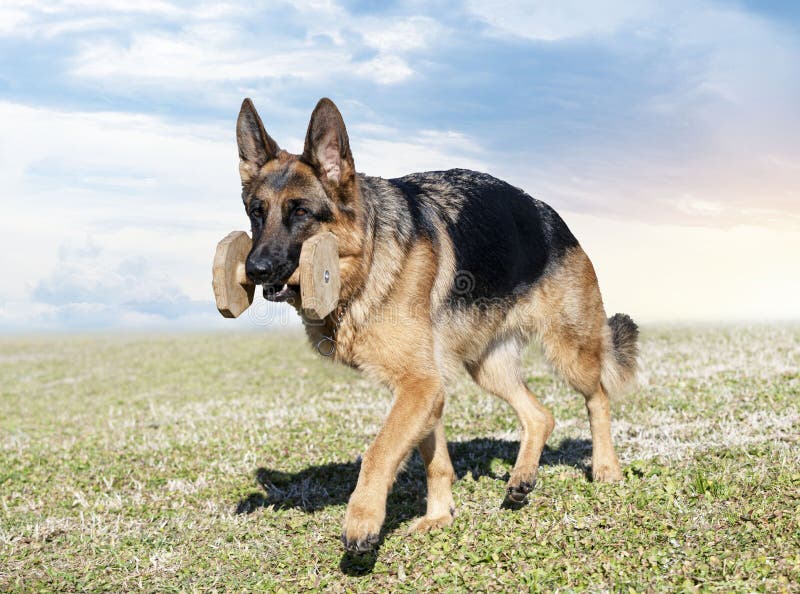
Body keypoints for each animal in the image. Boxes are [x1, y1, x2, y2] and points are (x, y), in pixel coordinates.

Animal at [236, 96, 636, 552]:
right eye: (256, 213)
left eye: (300, 212)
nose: (254, 270)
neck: (367, 259)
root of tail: (555, 219)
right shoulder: (425, 388)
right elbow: (435, 461)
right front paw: (440, 516)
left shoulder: (421, 386)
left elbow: (380, 450)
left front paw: (362, 519)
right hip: (488, 367)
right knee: (541, 415)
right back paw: (521, 478)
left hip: (571, 352)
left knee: (598, 396)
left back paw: (605, 467)